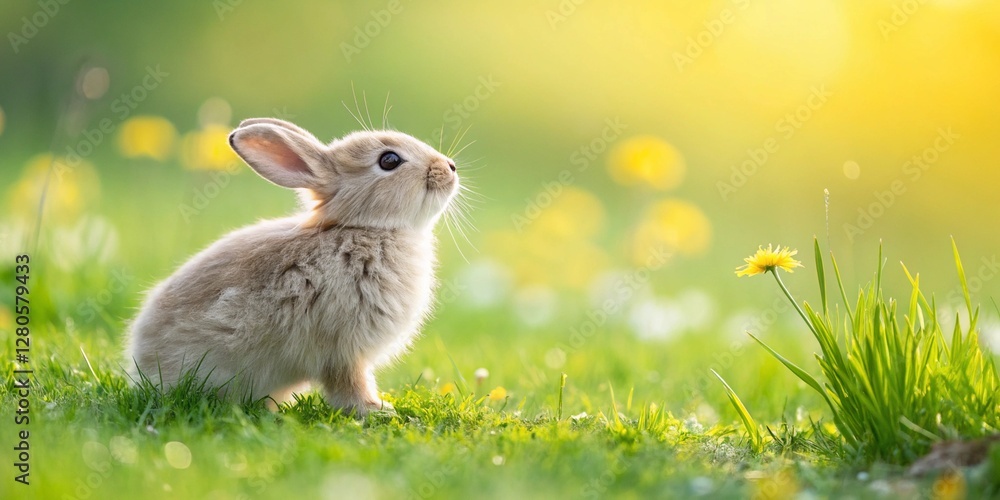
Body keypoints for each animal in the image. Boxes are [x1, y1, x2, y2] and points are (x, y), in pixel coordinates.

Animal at [124, 117, 459, 415]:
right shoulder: (343, 349)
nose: (450, 167)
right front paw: (376, 410)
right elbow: (349, 384)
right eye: (389, 160)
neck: (367, 228)